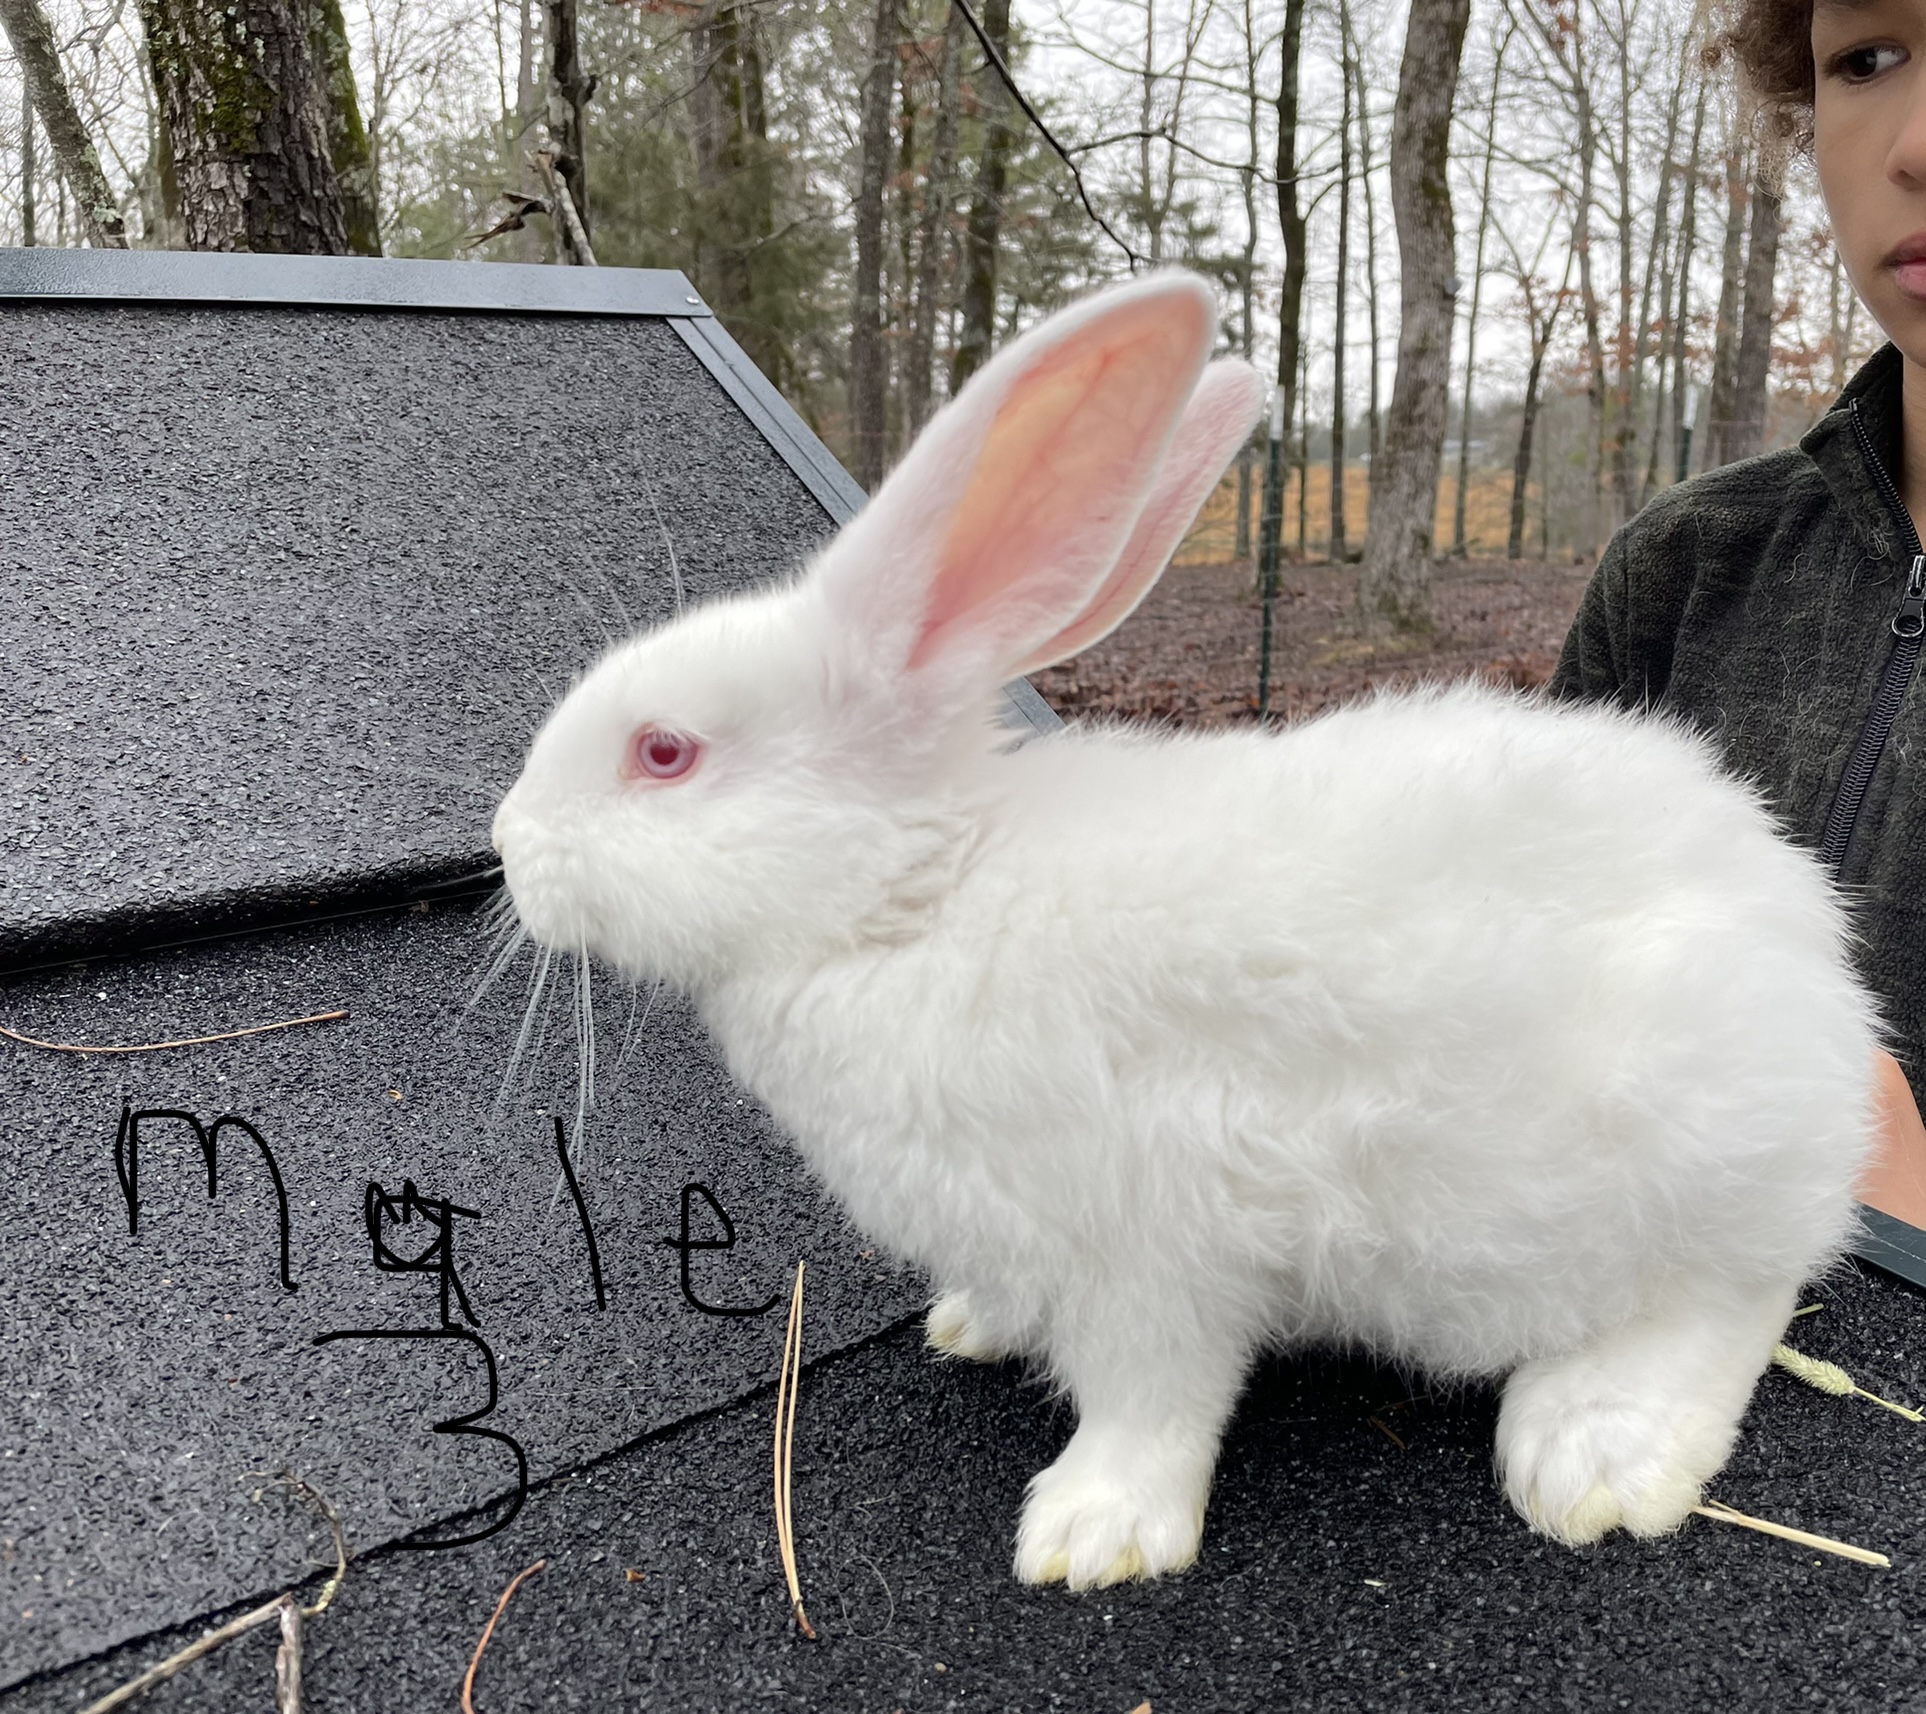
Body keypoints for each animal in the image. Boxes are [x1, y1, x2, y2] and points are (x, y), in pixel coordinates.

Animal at [496, 269, 1879, 1586]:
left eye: (663, 752)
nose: (509, 845)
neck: (922, 890)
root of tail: (1823, 988)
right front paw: (973, 1325)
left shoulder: (1153, 1249)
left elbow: (1149, 1397)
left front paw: (1091, 1534)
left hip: (1683, 1158)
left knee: (1728, 1302)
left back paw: (1595, 1453)